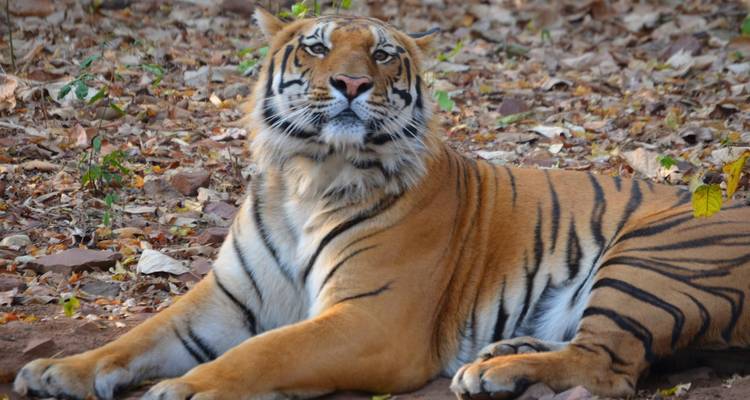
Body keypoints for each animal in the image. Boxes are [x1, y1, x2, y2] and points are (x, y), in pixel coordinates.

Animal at [14, 8, 750, 400]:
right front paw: (55, 371)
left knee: (611, 367)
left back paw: (498, 371)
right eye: (316, 46)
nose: (350, 83)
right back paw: (504, 353)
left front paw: (189, 387)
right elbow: (135, 337)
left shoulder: (372, 319)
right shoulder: (224, 300)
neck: (306, 176)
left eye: (385, 54)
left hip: (654, 253)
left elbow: (268, 352)